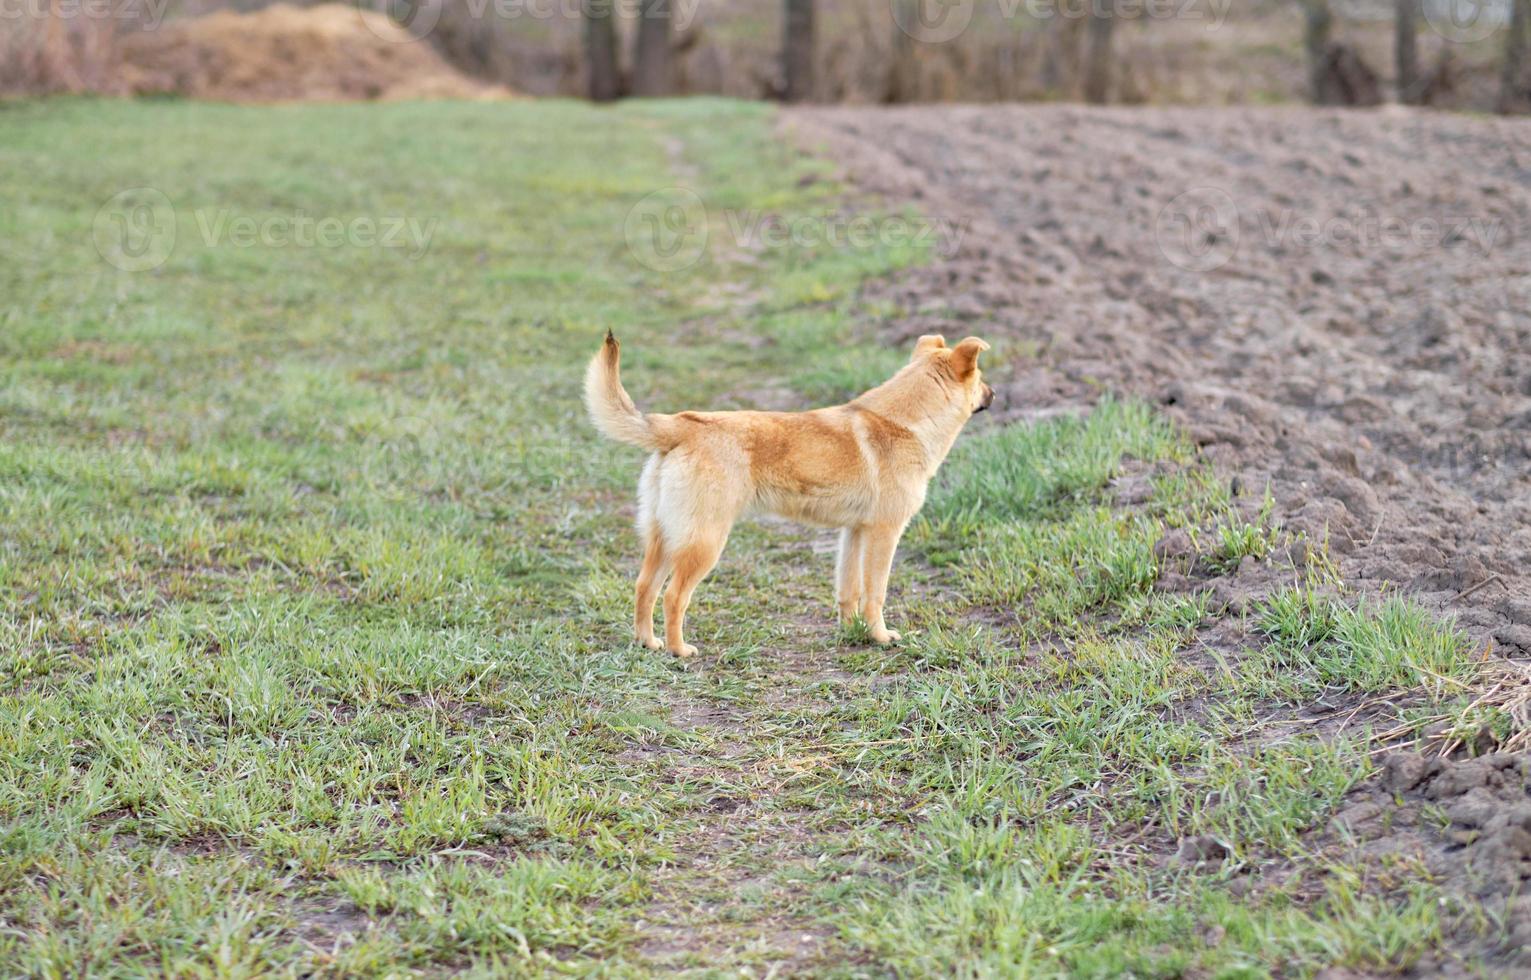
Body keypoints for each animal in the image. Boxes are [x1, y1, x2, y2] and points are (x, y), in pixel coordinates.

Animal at [581, 330, 992, 658]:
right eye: (981, 378)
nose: (995, 393)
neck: (905, 422)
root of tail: (680, 425)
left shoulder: (854, 532)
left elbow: (848, 590)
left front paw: (851, 632)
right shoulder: (884, 534)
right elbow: (875, 593)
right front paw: (880, 636)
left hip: (665, 537)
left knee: (644, 587)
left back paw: (648, 643)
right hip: (704, 542)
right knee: (673, 596)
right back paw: (679, 650)